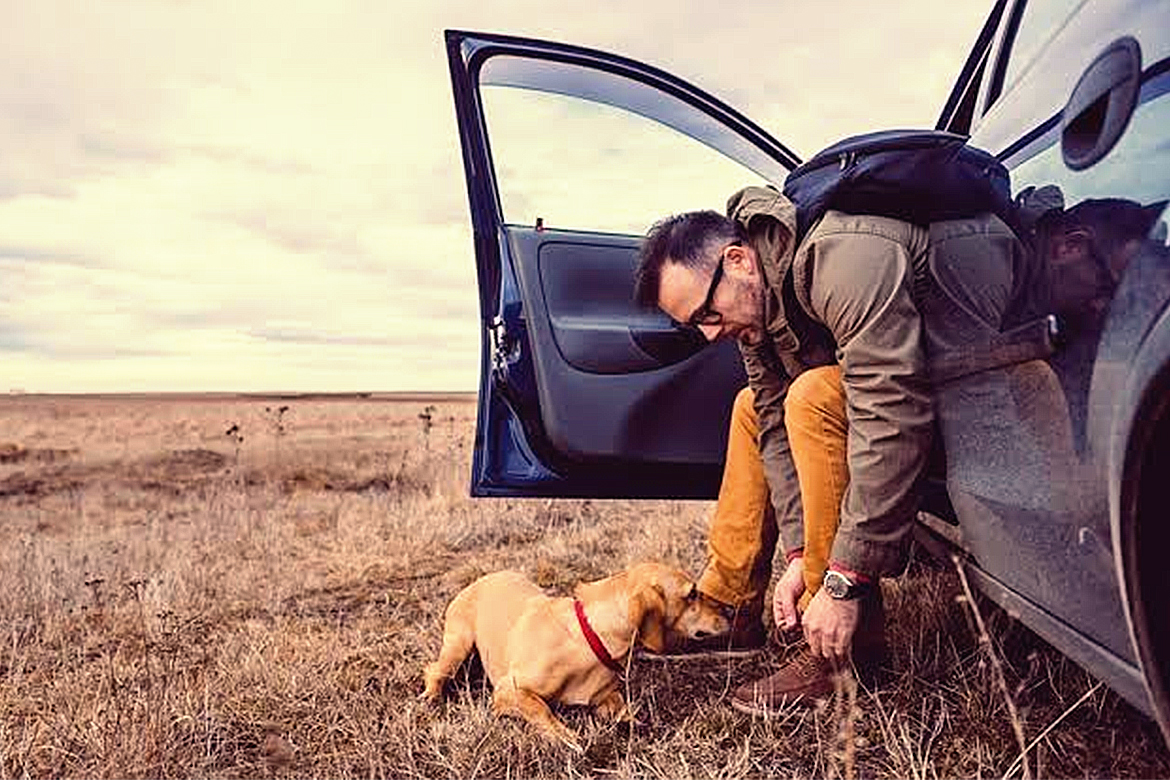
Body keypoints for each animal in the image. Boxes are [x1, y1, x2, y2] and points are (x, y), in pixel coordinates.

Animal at [421, 561, 730, 748]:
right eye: (692, 594)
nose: (729, 612)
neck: (590, 635)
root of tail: (479, 580)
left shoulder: (606, 697)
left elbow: (622, 708)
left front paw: (635, 724)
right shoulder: (508, 690)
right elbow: (541, 708)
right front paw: (564, 736)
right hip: (458, 646)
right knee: (433, 670)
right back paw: (431, 697)